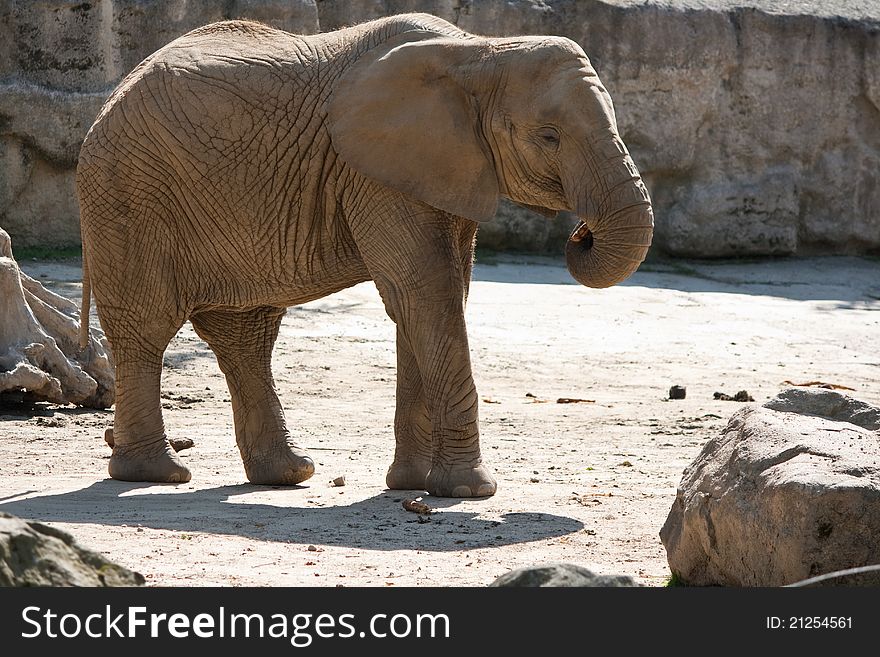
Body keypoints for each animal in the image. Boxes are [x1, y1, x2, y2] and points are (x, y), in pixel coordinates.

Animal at [77, 12, 652, 498]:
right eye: (549, 136)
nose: (581, 234)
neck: (479, 51)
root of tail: (111, 96)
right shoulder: (376, 173)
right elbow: (426, 294)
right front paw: (469, 491)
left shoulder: (439, 167)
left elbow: (428, 299)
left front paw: (412, 485)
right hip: (129, 192)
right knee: (147, 326)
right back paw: (157, 474)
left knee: (245, 334)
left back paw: (288, 474)